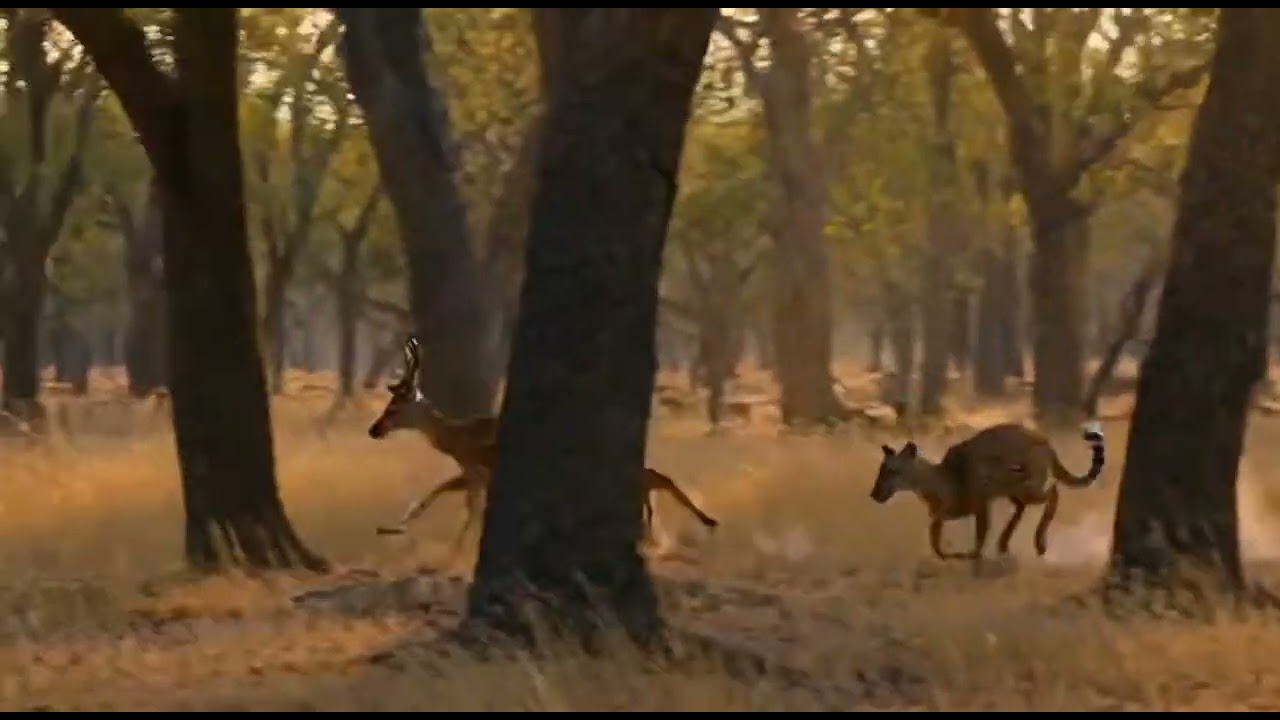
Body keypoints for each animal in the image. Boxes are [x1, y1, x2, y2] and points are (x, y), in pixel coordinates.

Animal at [368, 337, 719, 554]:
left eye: (395, 406)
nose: (374, 430)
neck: (460, 438)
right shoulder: (472, 474)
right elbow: (438, 493)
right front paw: (392, 529)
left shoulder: (481, 471)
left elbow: (467, 508)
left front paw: (455, 552)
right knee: (651, 478)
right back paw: (660, 530)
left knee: (655, 477)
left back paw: (703, 522)